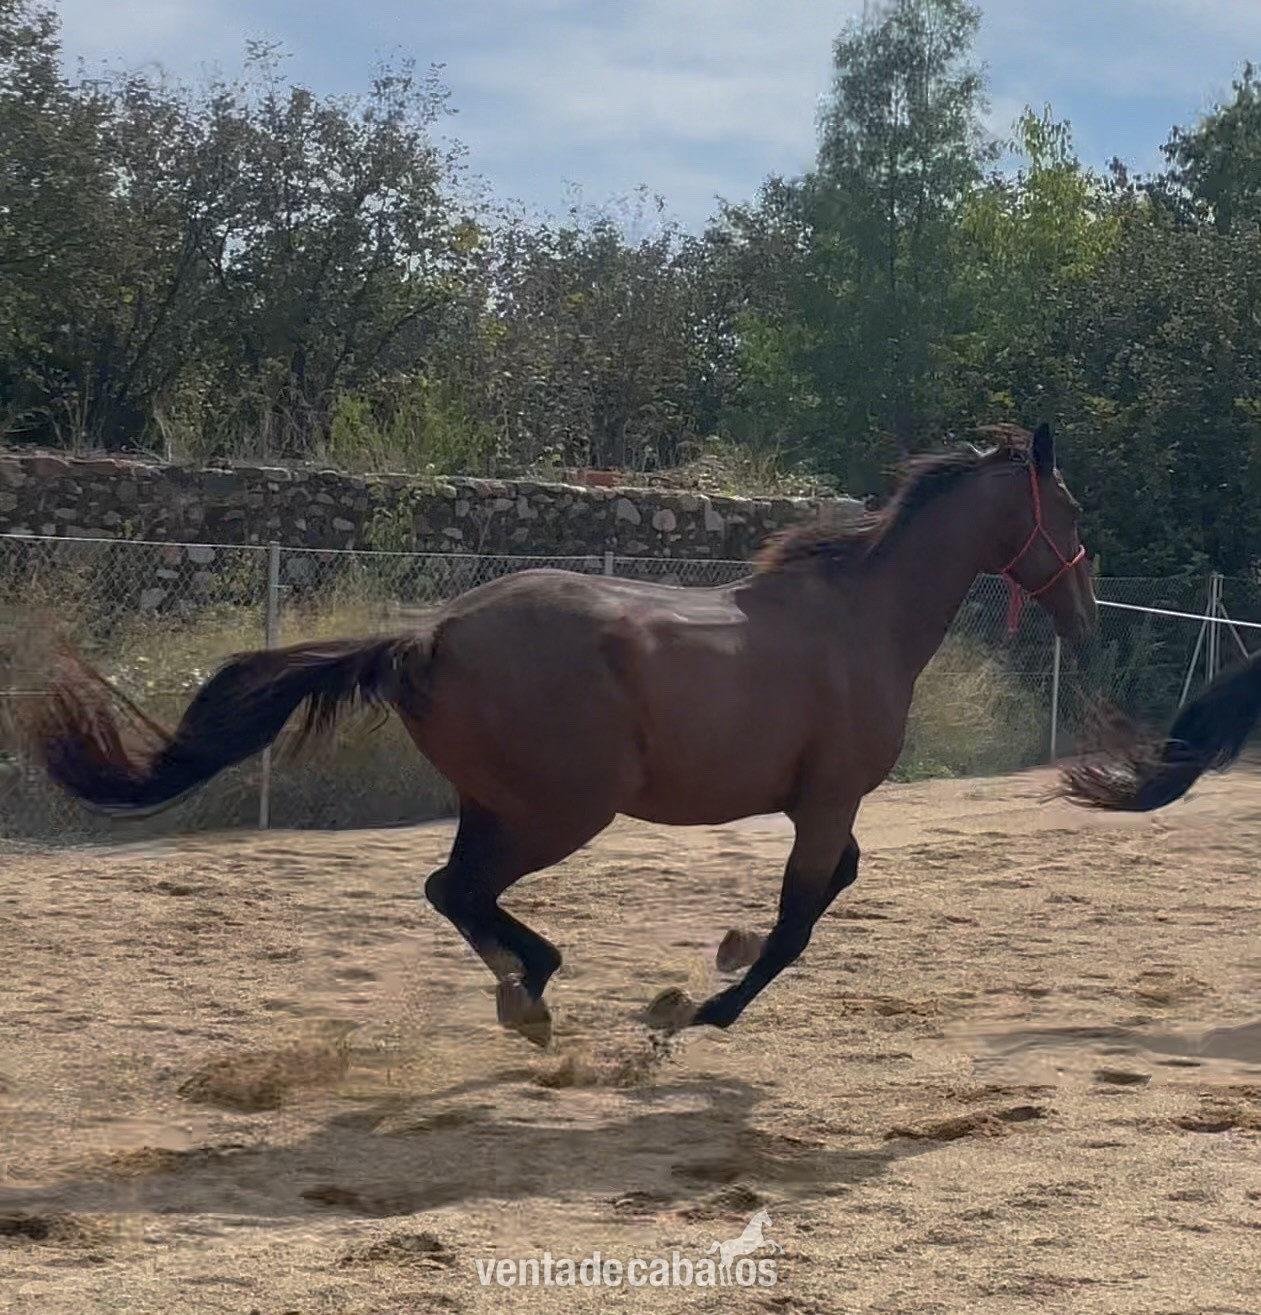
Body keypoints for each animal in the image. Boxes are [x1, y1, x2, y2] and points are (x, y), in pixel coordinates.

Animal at [20, 422, 1096, 1047]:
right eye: (1073, 509)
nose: (1085, 611)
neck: (858, 619)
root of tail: (429, 634)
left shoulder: (821, 803)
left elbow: (830, 888)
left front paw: (720, 954)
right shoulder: (827, 800)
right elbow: (799, 920)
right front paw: (702, 1007)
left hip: (494, 803)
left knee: (449, 890)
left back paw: (522, 991)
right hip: (560, 812)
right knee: (459, 889)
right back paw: (532, 992)